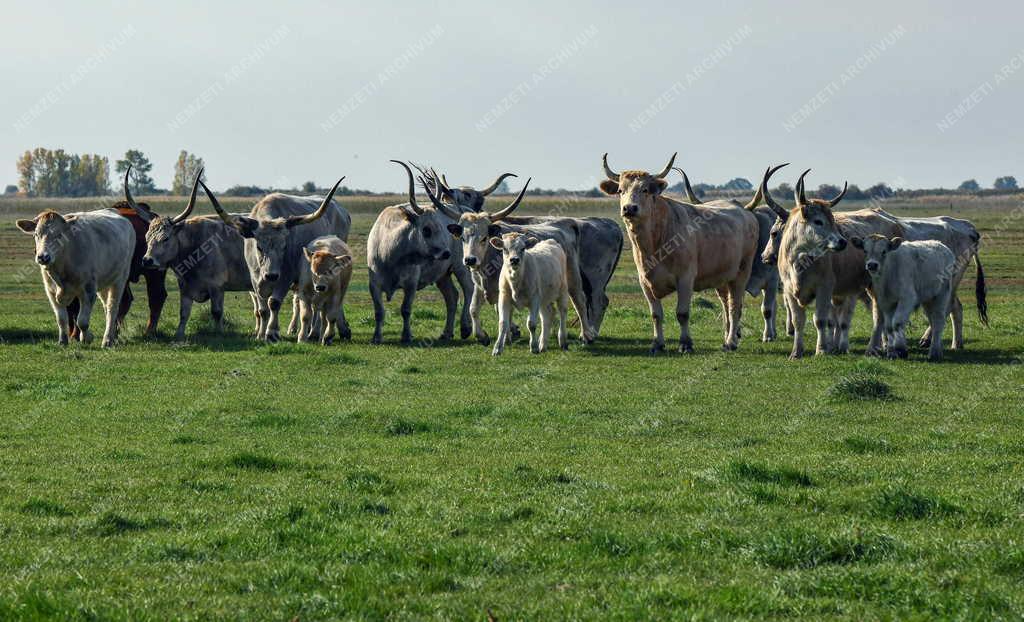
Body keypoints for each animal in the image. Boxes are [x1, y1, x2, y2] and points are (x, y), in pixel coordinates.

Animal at [17, 208, 134, 346]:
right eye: (36, 234)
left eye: (59, 235)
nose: (43, 257)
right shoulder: (51, 292)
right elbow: (61, 319)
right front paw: (62, 341)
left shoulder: (88, 290)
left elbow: (82, 321)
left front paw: (87, 337)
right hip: (104, 282)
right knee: (106, 307)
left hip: (120, 278)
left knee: (112, 308)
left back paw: (107, 340)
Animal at [140, 169, 256, 340]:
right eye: (146, 237)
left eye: (165, 238)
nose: (147, 260)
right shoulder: (185, 288)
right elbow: (183, 313)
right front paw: (179, 335)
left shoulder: (217, 287)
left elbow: (216, 312)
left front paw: (219, 333)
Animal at [199, 175, 352, 342]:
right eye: (259, 247)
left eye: (284, 246)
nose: (271, 275)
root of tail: (342, 211)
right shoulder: (254, 279)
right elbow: (262, 310)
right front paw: (260, 334)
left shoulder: (285, 277)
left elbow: (274, 303)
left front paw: (272, 332)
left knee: (323, 304)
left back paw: (321, 331)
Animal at [368, 160, 475, 346]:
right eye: (426, 229)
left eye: (440, 227)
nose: (446, 253)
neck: (389, 252)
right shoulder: (374, 284)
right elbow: (379, 311)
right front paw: (377, 337)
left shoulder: (411, 283)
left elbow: (405, 309)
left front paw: (406, 336)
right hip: (442, 275)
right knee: (452, 297)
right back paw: (446, 333)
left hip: (461, 267)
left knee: (468, 289)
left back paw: (465, 327)